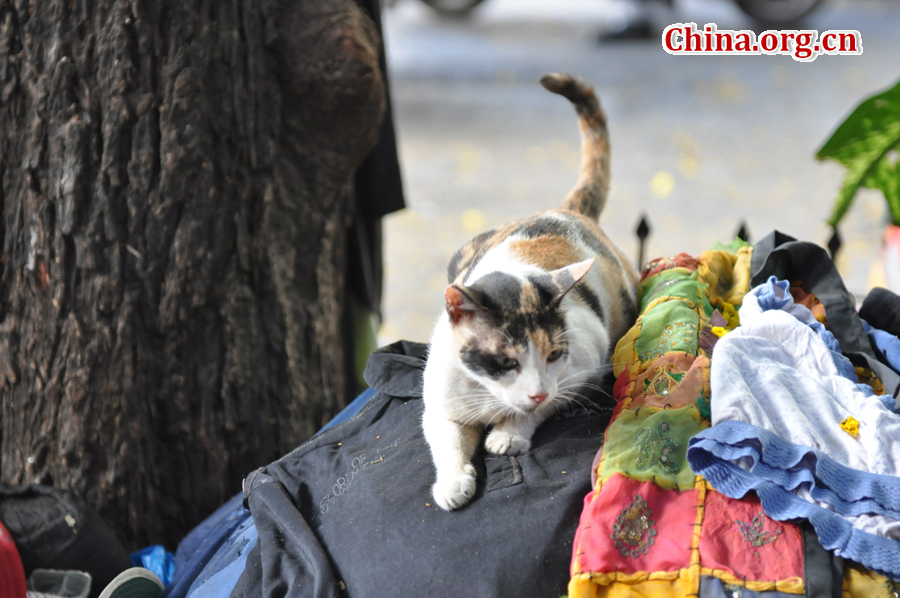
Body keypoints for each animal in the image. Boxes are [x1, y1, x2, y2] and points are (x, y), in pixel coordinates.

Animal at [422, 74, 640, 510]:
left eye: (554, 355)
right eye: (506, 362)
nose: (535, 391)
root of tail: (565, 209)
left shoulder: (581, 371)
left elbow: (539, 408)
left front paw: (508, 435)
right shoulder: (439, 402)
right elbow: (447, 439)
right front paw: (453, 483)